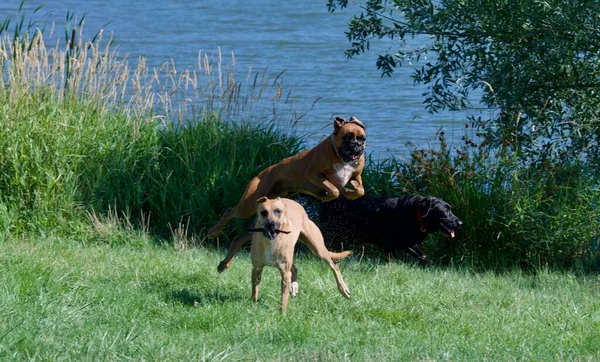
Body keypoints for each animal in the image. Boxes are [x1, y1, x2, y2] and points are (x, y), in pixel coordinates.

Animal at [206, 116, 366, 272]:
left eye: (362, 138)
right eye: (348, 137)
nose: (357, 145)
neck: (341, 158)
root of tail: (261, 174)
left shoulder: (355, 176)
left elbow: (360, 190)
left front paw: (348, 192)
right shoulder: (313, 174)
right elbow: (334, 190)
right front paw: (326, 194)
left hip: (260, 221)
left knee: (238, 238)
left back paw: (224, 263)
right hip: (248, 204)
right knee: (230, 211)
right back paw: (214, 231)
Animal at [318, 195, 464, 264]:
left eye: (451, 210)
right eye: (446, 212)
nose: (460, 223)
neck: (415, 214)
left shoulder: (405, 242)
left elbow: (421, 255)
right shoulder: (391, 243)